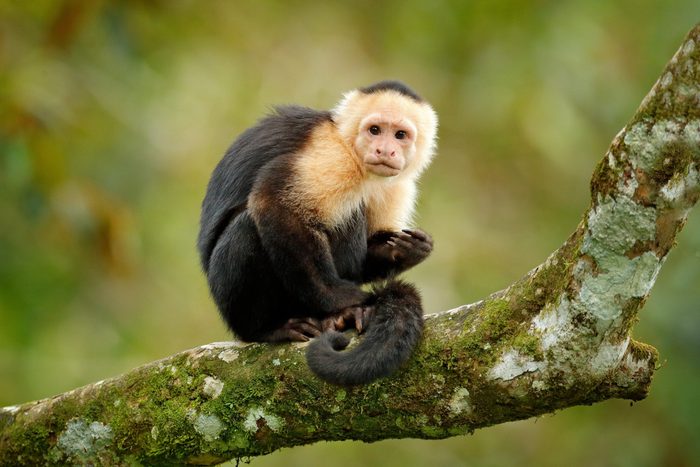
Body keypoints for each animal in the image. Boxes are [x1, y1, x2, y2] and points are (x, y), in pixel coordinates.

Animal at [197, 80, 438, 385]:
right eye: (375, 130)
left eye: (400, 135)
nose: (385, 150)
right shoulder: (332, 156)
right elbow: (275, 203)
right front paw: (345, 301)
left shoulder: (398, 185)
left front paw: (407, 251)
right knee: (249, 226)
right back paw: (268, 329)